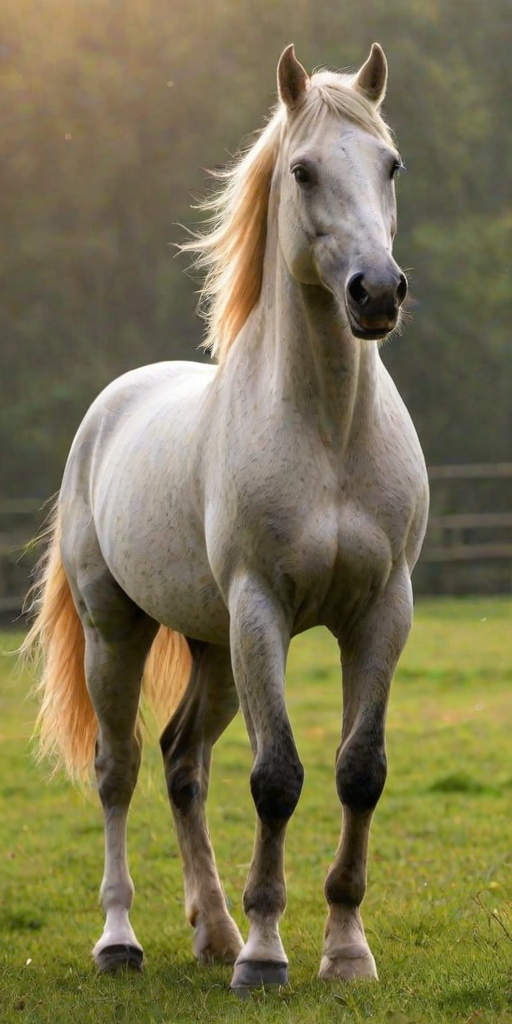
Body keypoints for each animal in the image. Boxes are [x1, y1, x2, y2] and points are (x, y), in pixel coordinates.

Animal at [24, 42, 429, 990]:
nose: (377, 294)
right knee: (120, 770)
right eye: (304, 170)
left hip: (211, 646)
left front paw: (345, 950)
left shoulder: (381, 612)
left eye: (390, 164)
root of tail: (108, 408)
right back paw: (123, 940)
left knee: (183, 764)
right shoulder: (261, 611)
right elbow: (277, 777)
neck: (327, 431)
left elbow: (360, 771)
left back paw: (211, 930)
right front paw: (266, 955)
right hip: (120, 632)